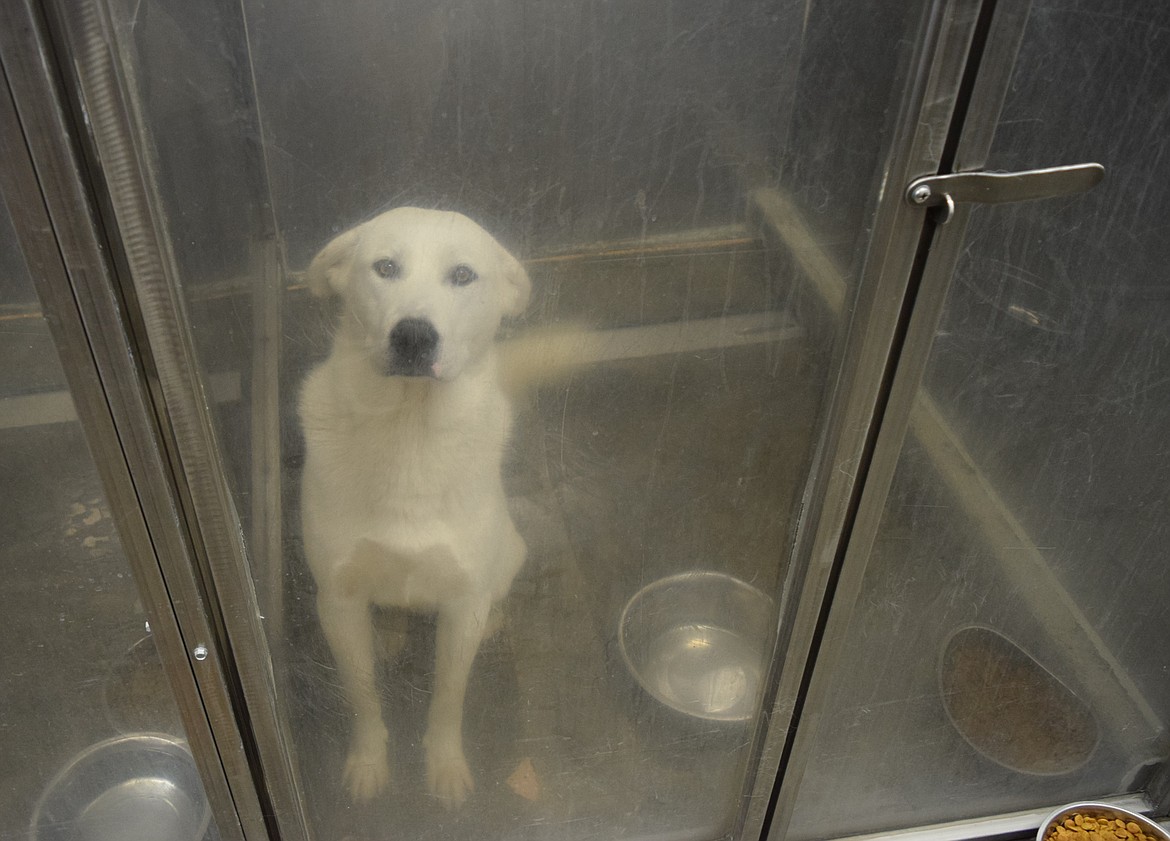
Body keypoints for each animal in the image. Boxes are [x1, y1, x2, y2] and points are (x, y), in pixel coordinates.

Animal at [301, 205, 535, 809]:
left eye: (462, 275)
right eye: (385, 267)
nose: (412, 334)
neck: (408, 431)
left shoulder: (461, 603)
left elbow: (449, 697)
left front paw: (445, 769)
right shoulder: (337, 601)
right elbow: (362, 696)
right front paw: (368, 764)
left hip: (511, 551)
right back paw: (389, 632)